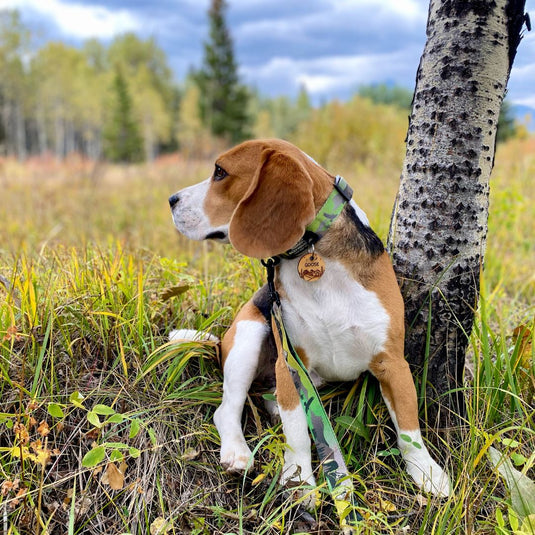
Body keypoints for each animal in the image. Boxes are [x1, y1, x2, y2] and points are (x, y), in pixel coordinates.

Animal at [169, 137, 452, 502]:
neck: (317, 258)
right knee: (227, 409)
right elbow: (297, 434)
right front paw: (299, 477)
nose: (171, 199)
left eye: (220, 172)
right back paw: (237, 453)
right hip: (249, 335)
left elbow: (408, 428)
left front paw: (427, 473)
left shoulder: (392, 362)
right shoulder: (289, 363)